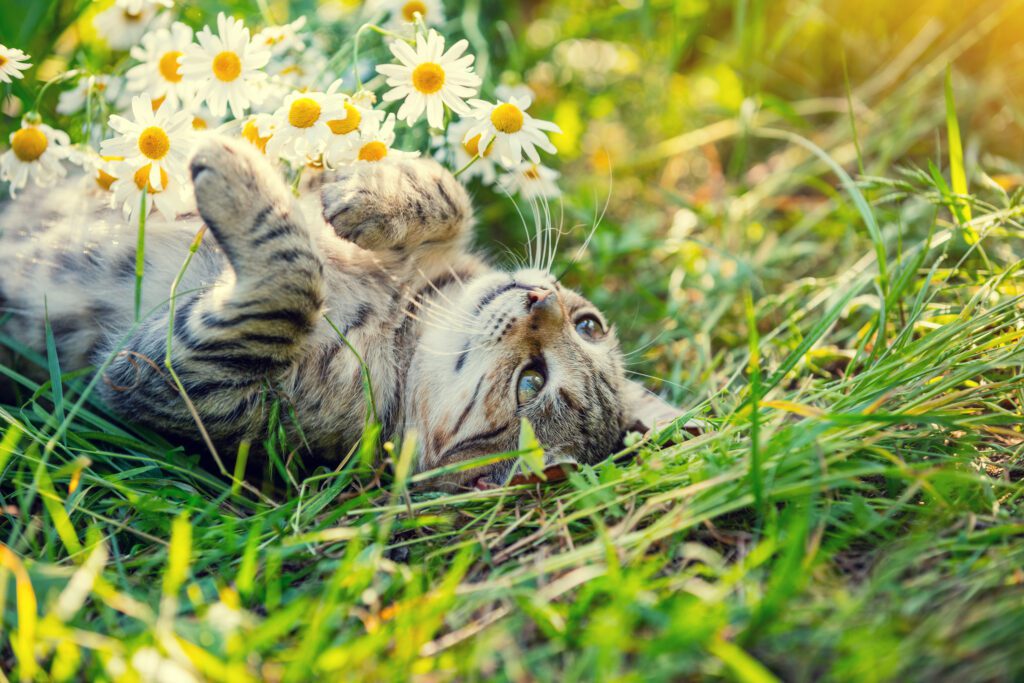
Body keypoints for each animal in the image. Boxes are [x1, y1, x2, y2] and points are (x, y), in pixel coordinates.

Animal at [2, 137, 688, 491]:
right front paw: (368, 197)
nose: (542, 301)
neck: (403, 310)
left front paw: (237, 176)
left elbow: (290, 283)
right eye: (590, 325)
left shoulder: (179, 379)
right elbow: (451, 194)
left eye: (530, 384)